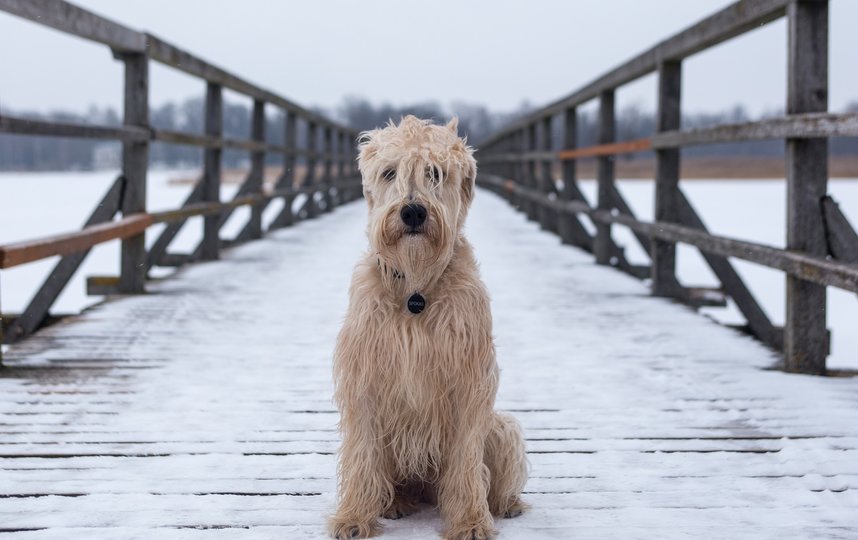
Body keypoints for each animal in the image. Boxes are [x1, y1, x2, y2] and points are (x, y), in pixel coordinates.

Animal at [328, 115, 528, 540]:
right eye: (390, 172)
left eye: (434, 173)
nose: (413, 213)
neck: (415, 289)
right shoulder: (364, 378)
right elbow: (362, 453)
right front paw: (353, 516)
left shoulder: (470, 381)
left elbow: (467, 460)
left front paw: (470, 520)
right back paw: (395, 503)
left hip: (501, 427)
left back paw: (506, 503)